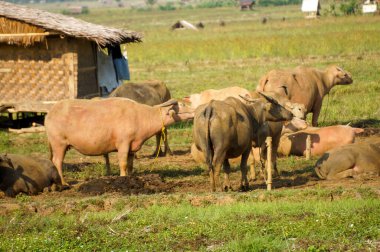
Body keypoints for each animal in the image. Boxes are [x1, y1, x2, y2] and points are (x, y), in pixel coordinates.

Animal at [45, 97, 194, 186]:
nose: (194, 111)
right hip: (59, 144)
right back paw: (64, 183)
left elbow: (130, 165)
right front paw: (122, 179)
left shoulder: (132, 148)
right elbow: (123, 164)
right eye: (182, 104)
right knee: (57, 162)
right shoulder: (123, 144)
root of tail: (50, 113)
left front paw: (131, 178)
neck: (141, 117)